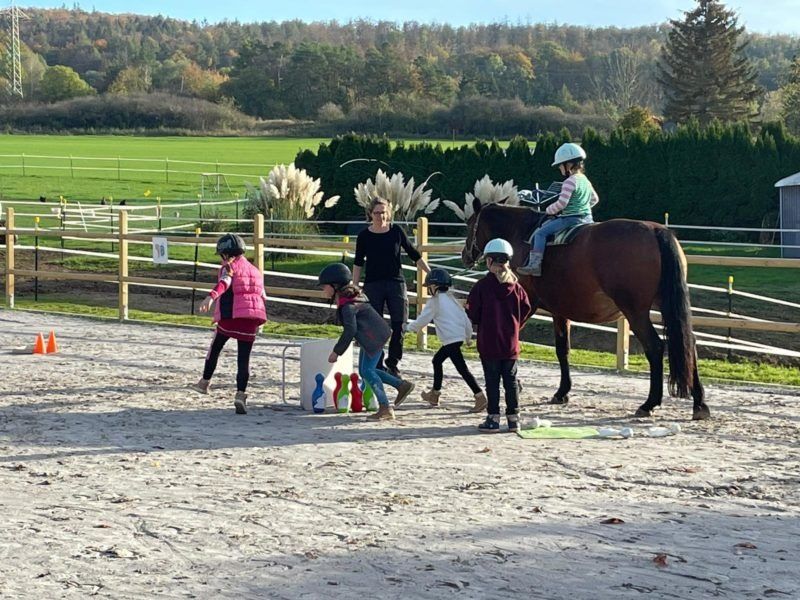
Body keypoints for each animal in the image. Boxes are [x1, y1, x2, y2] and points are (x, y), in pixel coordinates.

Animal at [462, 199, 712, 420]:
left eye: (470, 225)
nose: (465, 255)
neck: (521, 235)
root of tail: (655, 231)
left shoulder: (527, 304)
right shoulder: (559, 311)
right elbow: (562, 349)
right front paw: (562, 392)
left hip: (636, 312)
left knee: (656, 347)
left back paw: (649, 403)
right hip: (665, 305)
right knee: (688, 343)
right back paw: (699, 403)